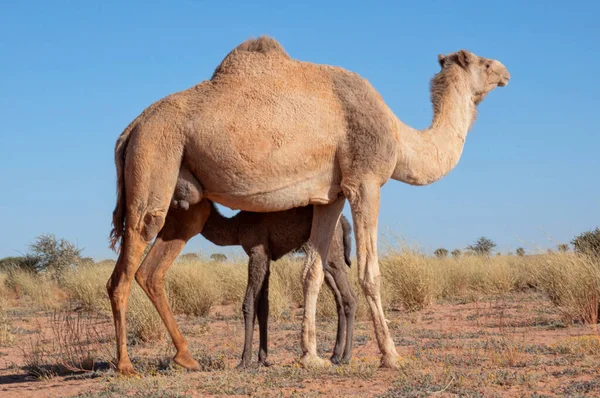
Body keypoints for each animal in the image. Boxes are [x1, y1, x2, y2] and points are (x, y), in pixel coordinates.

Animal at [202, 202, 356, 366]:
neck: (237, 226)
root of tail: (344, 222)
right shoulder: (266, 257)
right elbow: (263, 307)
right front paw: (261, 358)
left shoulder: (257, 251)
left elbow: (248, 303)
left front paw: (244, 360)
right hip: (326, 260)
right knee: (340, 299)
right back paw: (335, 355)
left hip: (332, 250)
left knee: (350, 298)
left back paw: (346, 357)